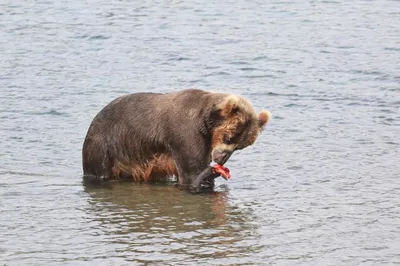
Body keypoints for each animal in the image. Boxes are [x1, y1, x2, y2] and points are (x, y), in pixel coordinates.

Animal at [83, 88, 272, 192]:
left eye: (240, 146)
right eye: (229, 137)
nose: (221, 158)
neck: (205, 123)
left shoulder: (204, 142)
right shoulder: (185, 133)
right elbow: (190, 172)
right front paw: (207, 175)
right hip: (105, 144)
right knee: (99, 170)